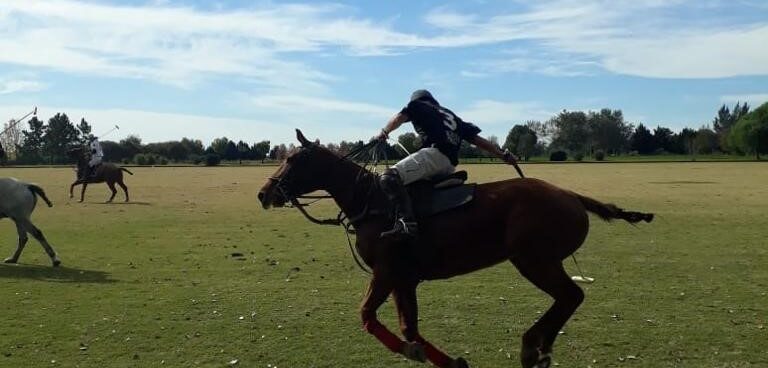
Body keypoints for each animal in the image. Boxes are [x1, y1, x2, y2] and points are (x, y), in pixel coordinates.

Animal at [260, 129, 656, 368]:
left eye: (293, 160)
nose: (264, 194)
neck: (370, 202)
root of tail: (573, 196)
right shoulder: (404, 279)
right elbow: (409, 326)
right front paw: (449, 360)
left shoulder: (385, 273)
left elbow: (368, 317)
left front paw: (414, 353)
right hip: (537, 260)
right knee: (569, 298)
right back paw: (541, 350)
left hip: (533, 259)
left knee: (571, 296)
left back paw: (533, 347)